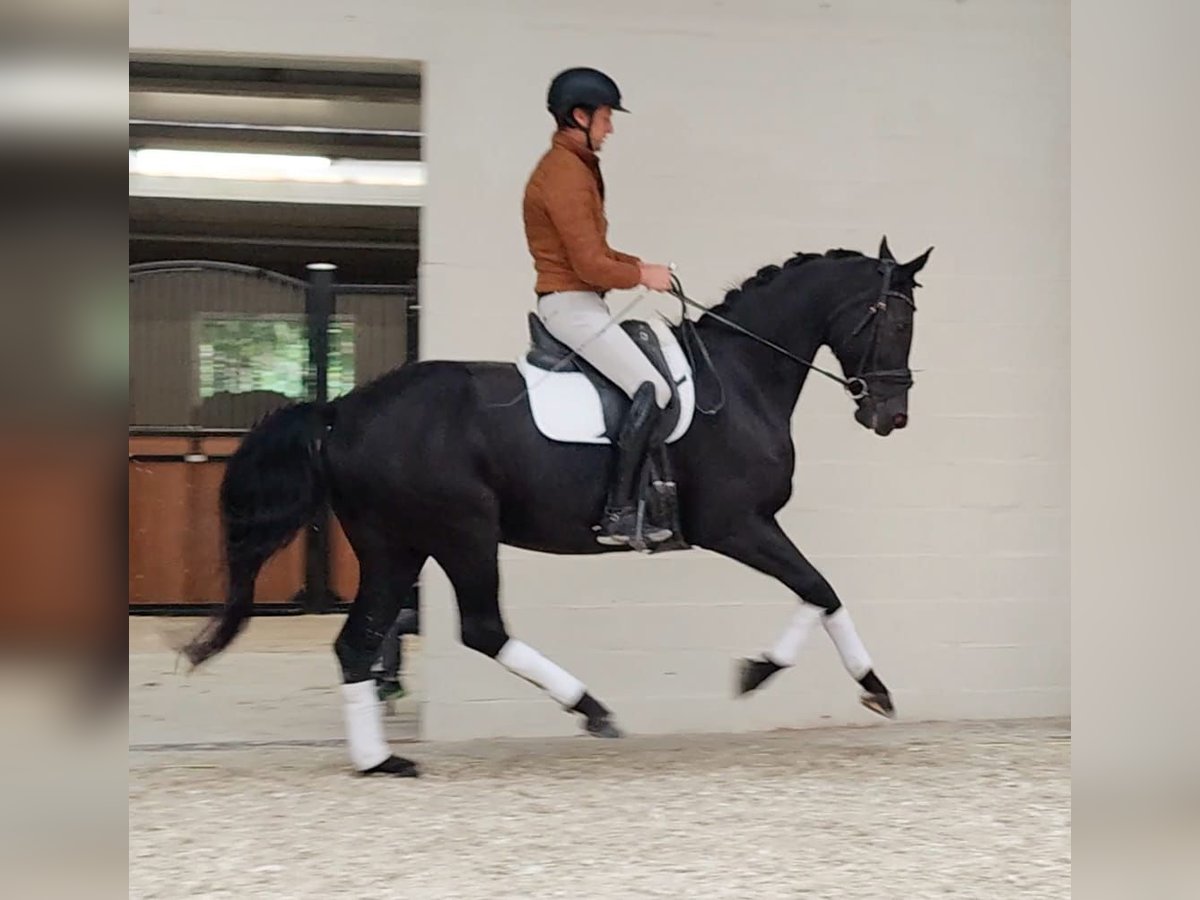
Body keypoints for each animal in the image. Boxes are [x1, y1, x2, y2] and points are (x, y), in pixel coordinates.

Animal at [187, 237, 931, 777]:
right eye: (896, 318)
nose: (890, 415)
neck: (742, 379)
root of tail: (342, 412)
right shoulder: (737, 524)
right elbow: (820, 586)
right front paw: (829, 680)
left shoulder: (747, 528)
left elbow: (816, 590)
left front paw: (829, 678)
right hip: (460, 532)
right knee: (480, 628)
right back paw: (592, 709)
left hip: (394, 544)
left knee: (358, 643)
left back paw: (381, 762)